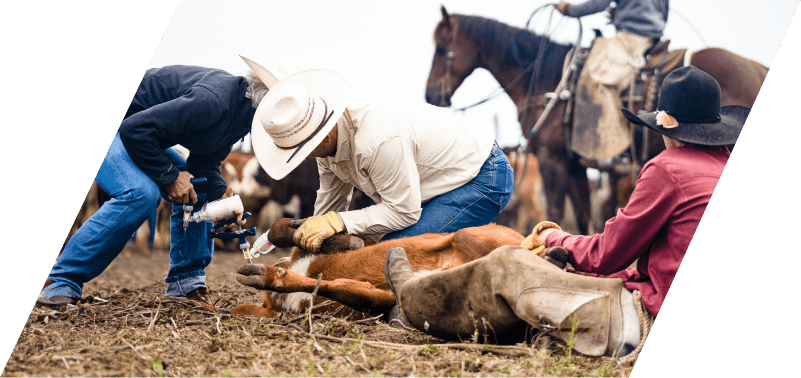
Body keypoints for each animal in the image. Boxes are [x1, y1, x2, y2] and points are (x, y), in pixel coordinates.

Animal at [424, 6, 768, 233]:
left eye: (441, 48)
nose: (431, 96)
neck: (549, 79)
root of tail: (755, 67)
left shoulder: (552, 159)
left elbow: (556, 211)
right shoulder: (576, 165)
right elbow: (583, 218)